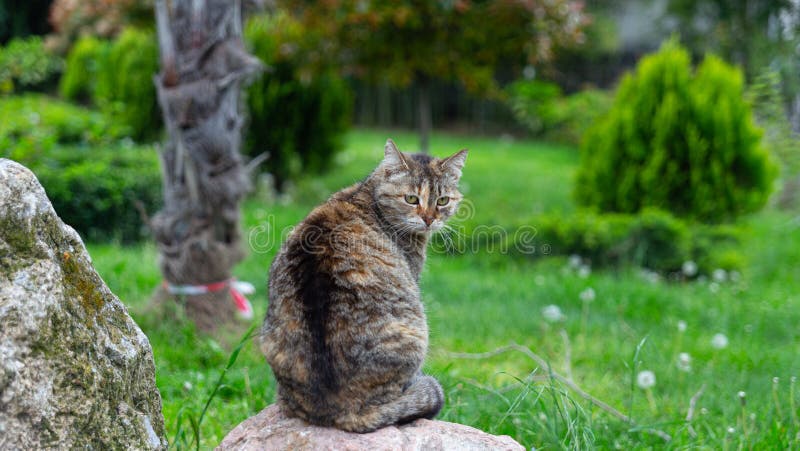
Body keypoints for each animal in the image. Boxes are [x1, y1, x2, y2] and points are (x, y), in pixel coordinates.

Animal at [260, 139, 466, 434]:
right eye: (411, 199)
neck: (367, 195)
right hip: (417, 331)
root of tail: (340, 411)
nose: (429, 219)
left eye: (442, 200)